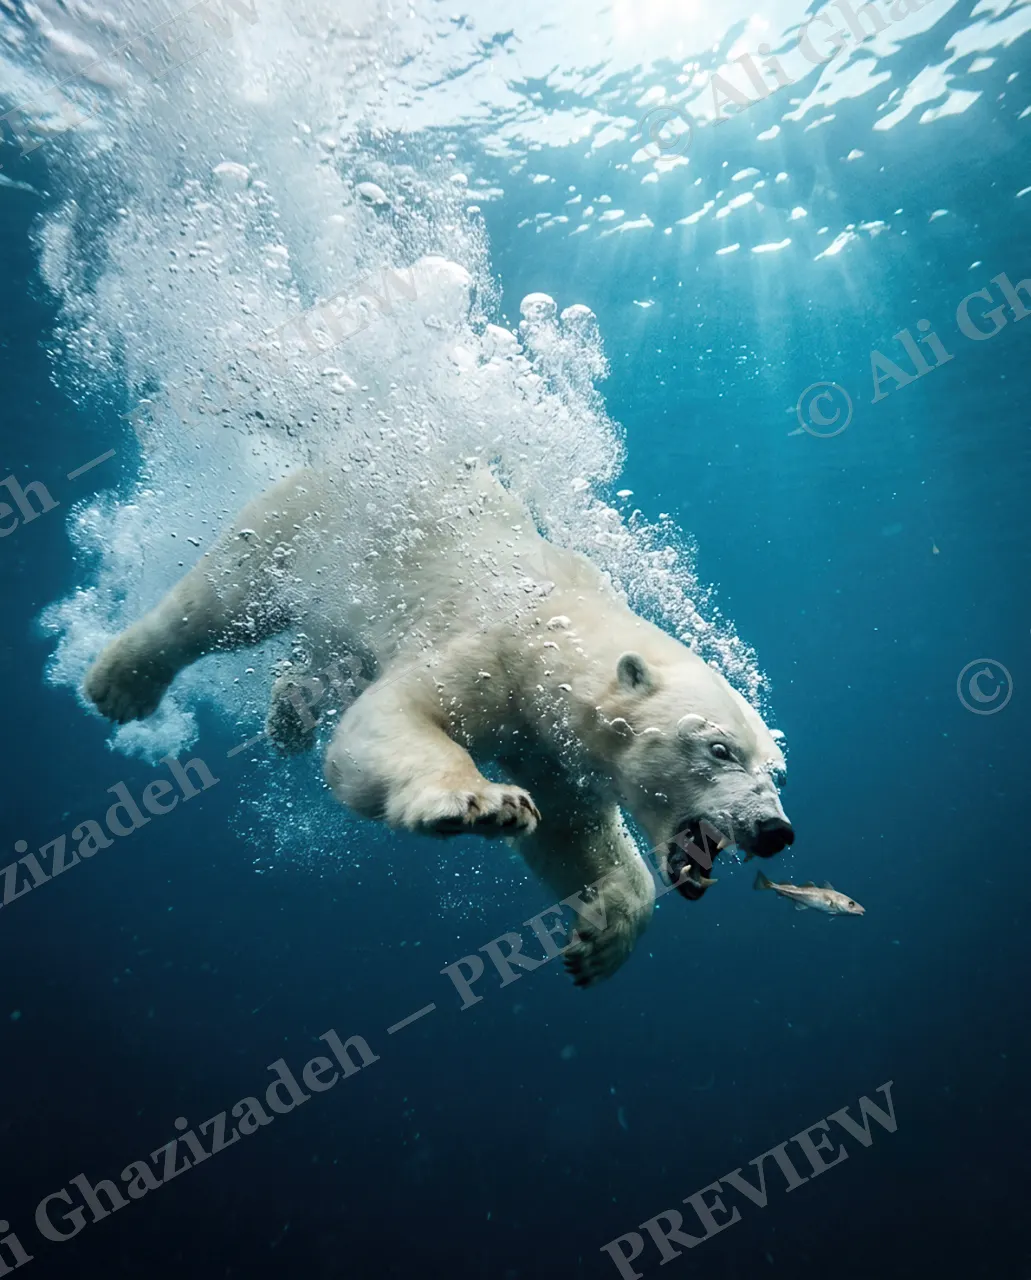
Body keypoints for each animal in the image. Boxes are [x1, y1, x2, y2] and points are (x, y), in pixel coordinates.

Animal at [84, 459, 793, 986]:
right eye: (720, 749)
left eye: (776, 770)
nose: (775, 831)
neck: (556, 626)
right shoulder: (489, 650)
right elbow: (390, 719)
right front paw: (484, 803)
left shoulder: (551, 747)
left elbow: (573, 836)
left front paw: (600, 937)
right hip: (303, 530)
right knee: (220, 600)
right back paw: (120, 682)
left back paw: (289, 714)